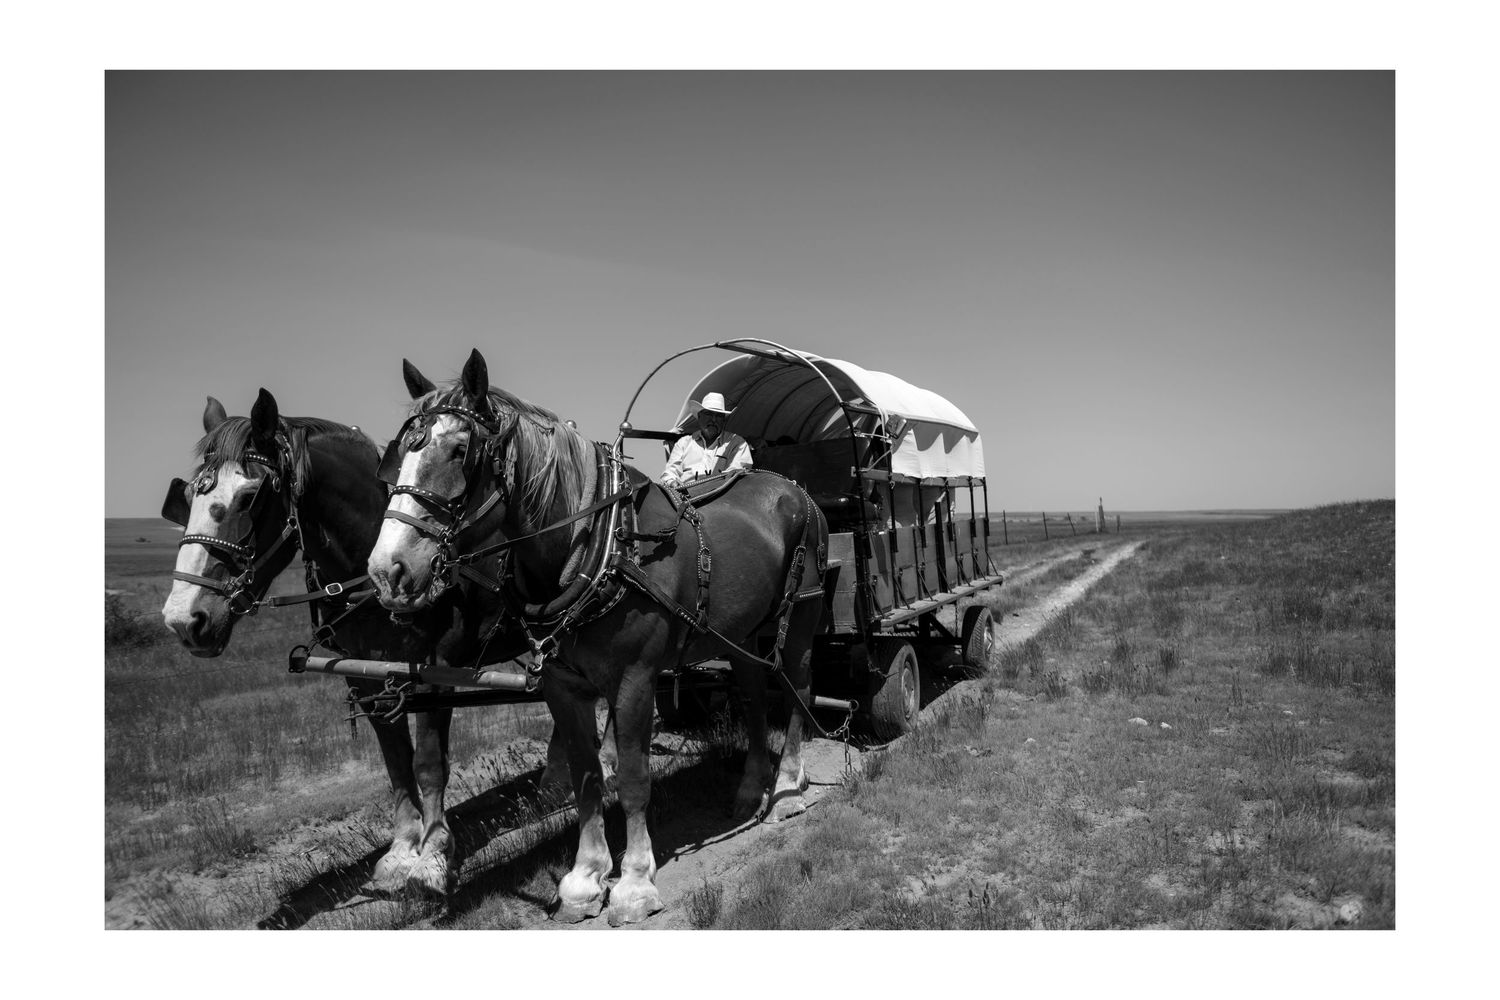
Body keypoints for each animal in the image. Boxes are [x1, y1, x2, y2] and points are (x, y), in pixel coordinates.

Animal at [159, 388, 543, 897]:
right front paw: (401, 851)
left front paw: (433, 857)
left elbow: (429, 763)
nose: (184, 619)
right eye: (186, 496)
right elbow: (396, 761)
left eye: (248, 496)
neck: (371, 571)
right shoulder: (366, 675)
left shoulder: (437, 670)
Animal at [367, 349, 829, 925]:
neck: (600, 544)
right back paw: (751, 789)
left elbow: (632, 779)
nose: (388, 571)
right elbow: (586, 778)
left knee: (797, 690)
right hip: (740, 631)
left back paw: (787, 787)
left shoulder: (634, 680)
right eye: (396, 457)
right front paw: (584, 879)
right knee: (754, 696)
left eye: (459, 450)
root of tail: (793, 489)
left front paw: (634, 883)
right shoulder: (562, 687)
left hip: (800, 616)